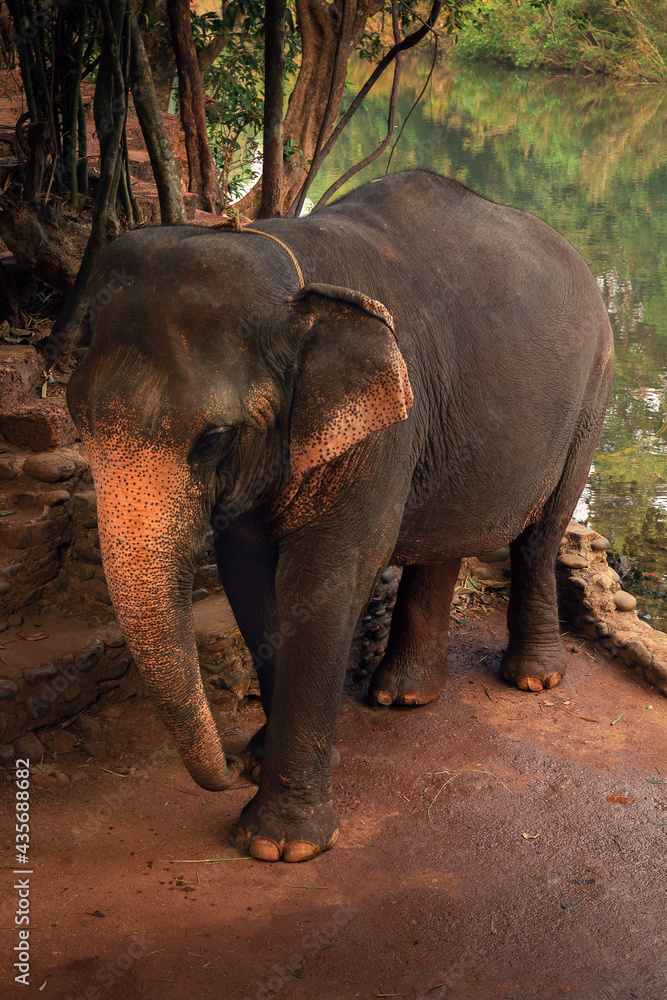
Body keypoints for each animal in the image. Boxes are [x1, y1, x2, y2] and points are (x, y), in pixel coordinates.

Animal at [67, 170, 614, 863]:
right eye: (77, 419)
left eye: (214, 439)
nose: (226, 770)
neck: (289, 267)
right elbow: (251, 580)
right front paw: (262, 761)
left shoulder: (383, 426)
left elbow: (324, 581)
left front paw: (279, 844)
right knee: (443, 543)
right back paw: (405, 696)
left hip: (593, 391)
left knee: (540, 534)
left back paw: (532, 681)